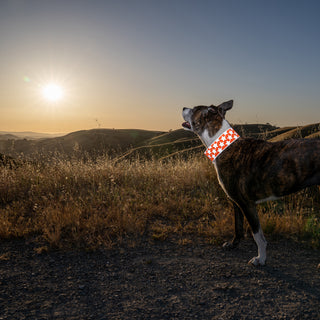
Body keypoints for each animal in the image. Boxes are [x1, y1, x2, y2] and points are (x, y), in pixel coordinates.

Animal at [182, 101, 320, 266]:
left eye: (195, 109)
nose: (183, 108)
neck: (225, 146)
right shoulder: (236, 202)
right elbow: (238, 227)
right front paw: (233, 244)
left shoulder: (247, 204)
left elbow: (258, 236)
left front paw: (260, 259)